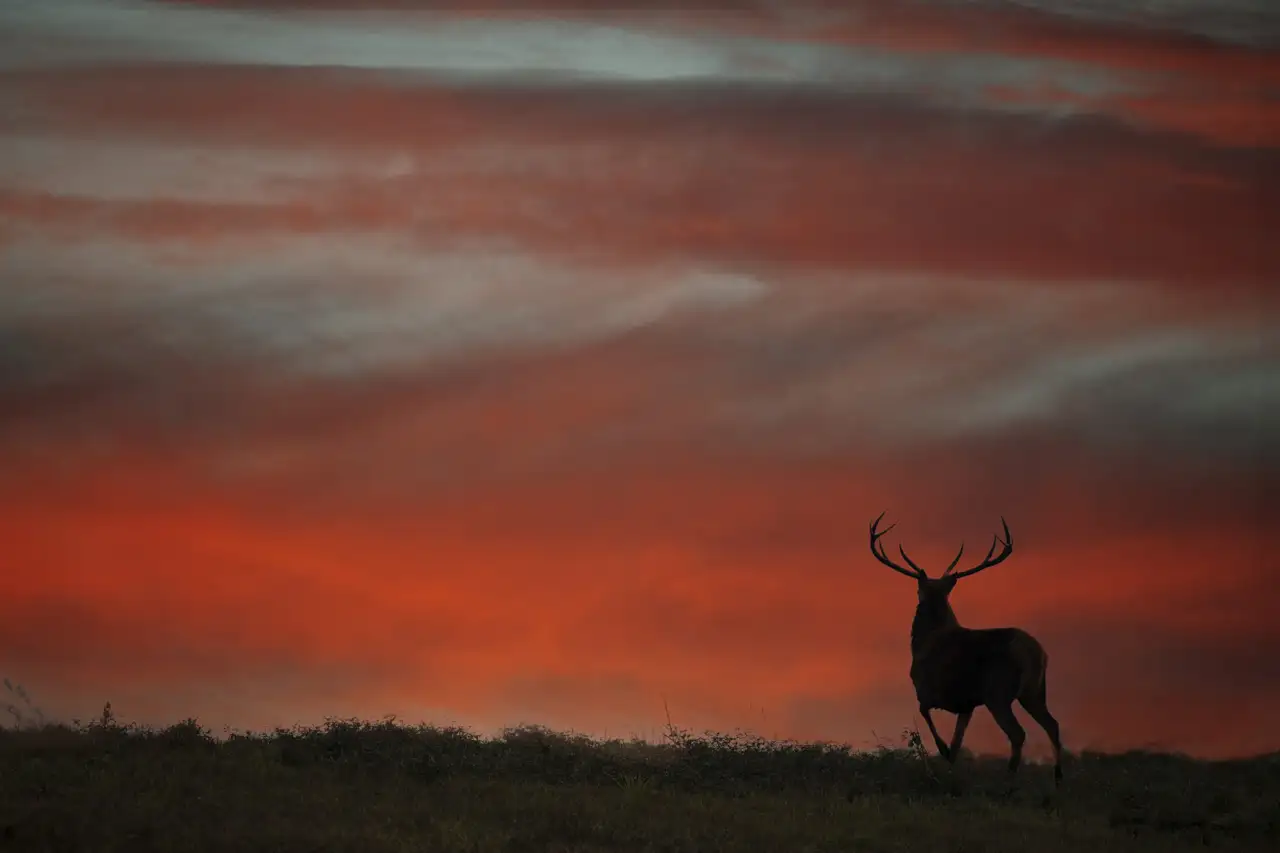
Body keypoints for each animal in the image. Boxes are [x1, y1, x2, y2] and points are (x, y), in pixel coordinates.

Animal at [869, 512, 1063, 784]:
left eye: (918, 590)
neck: (923, 642)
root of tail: (1035, 653)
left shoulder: (927, 689)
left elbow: (928, 719)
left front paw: (941, 753)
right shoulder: (967, 705)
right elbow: (957, 743)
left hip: (998, 691)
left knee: (1018, 733)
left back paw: (1009, 779)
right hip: (1034, 691)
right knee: (1052, 725)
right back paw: (1058, 778)